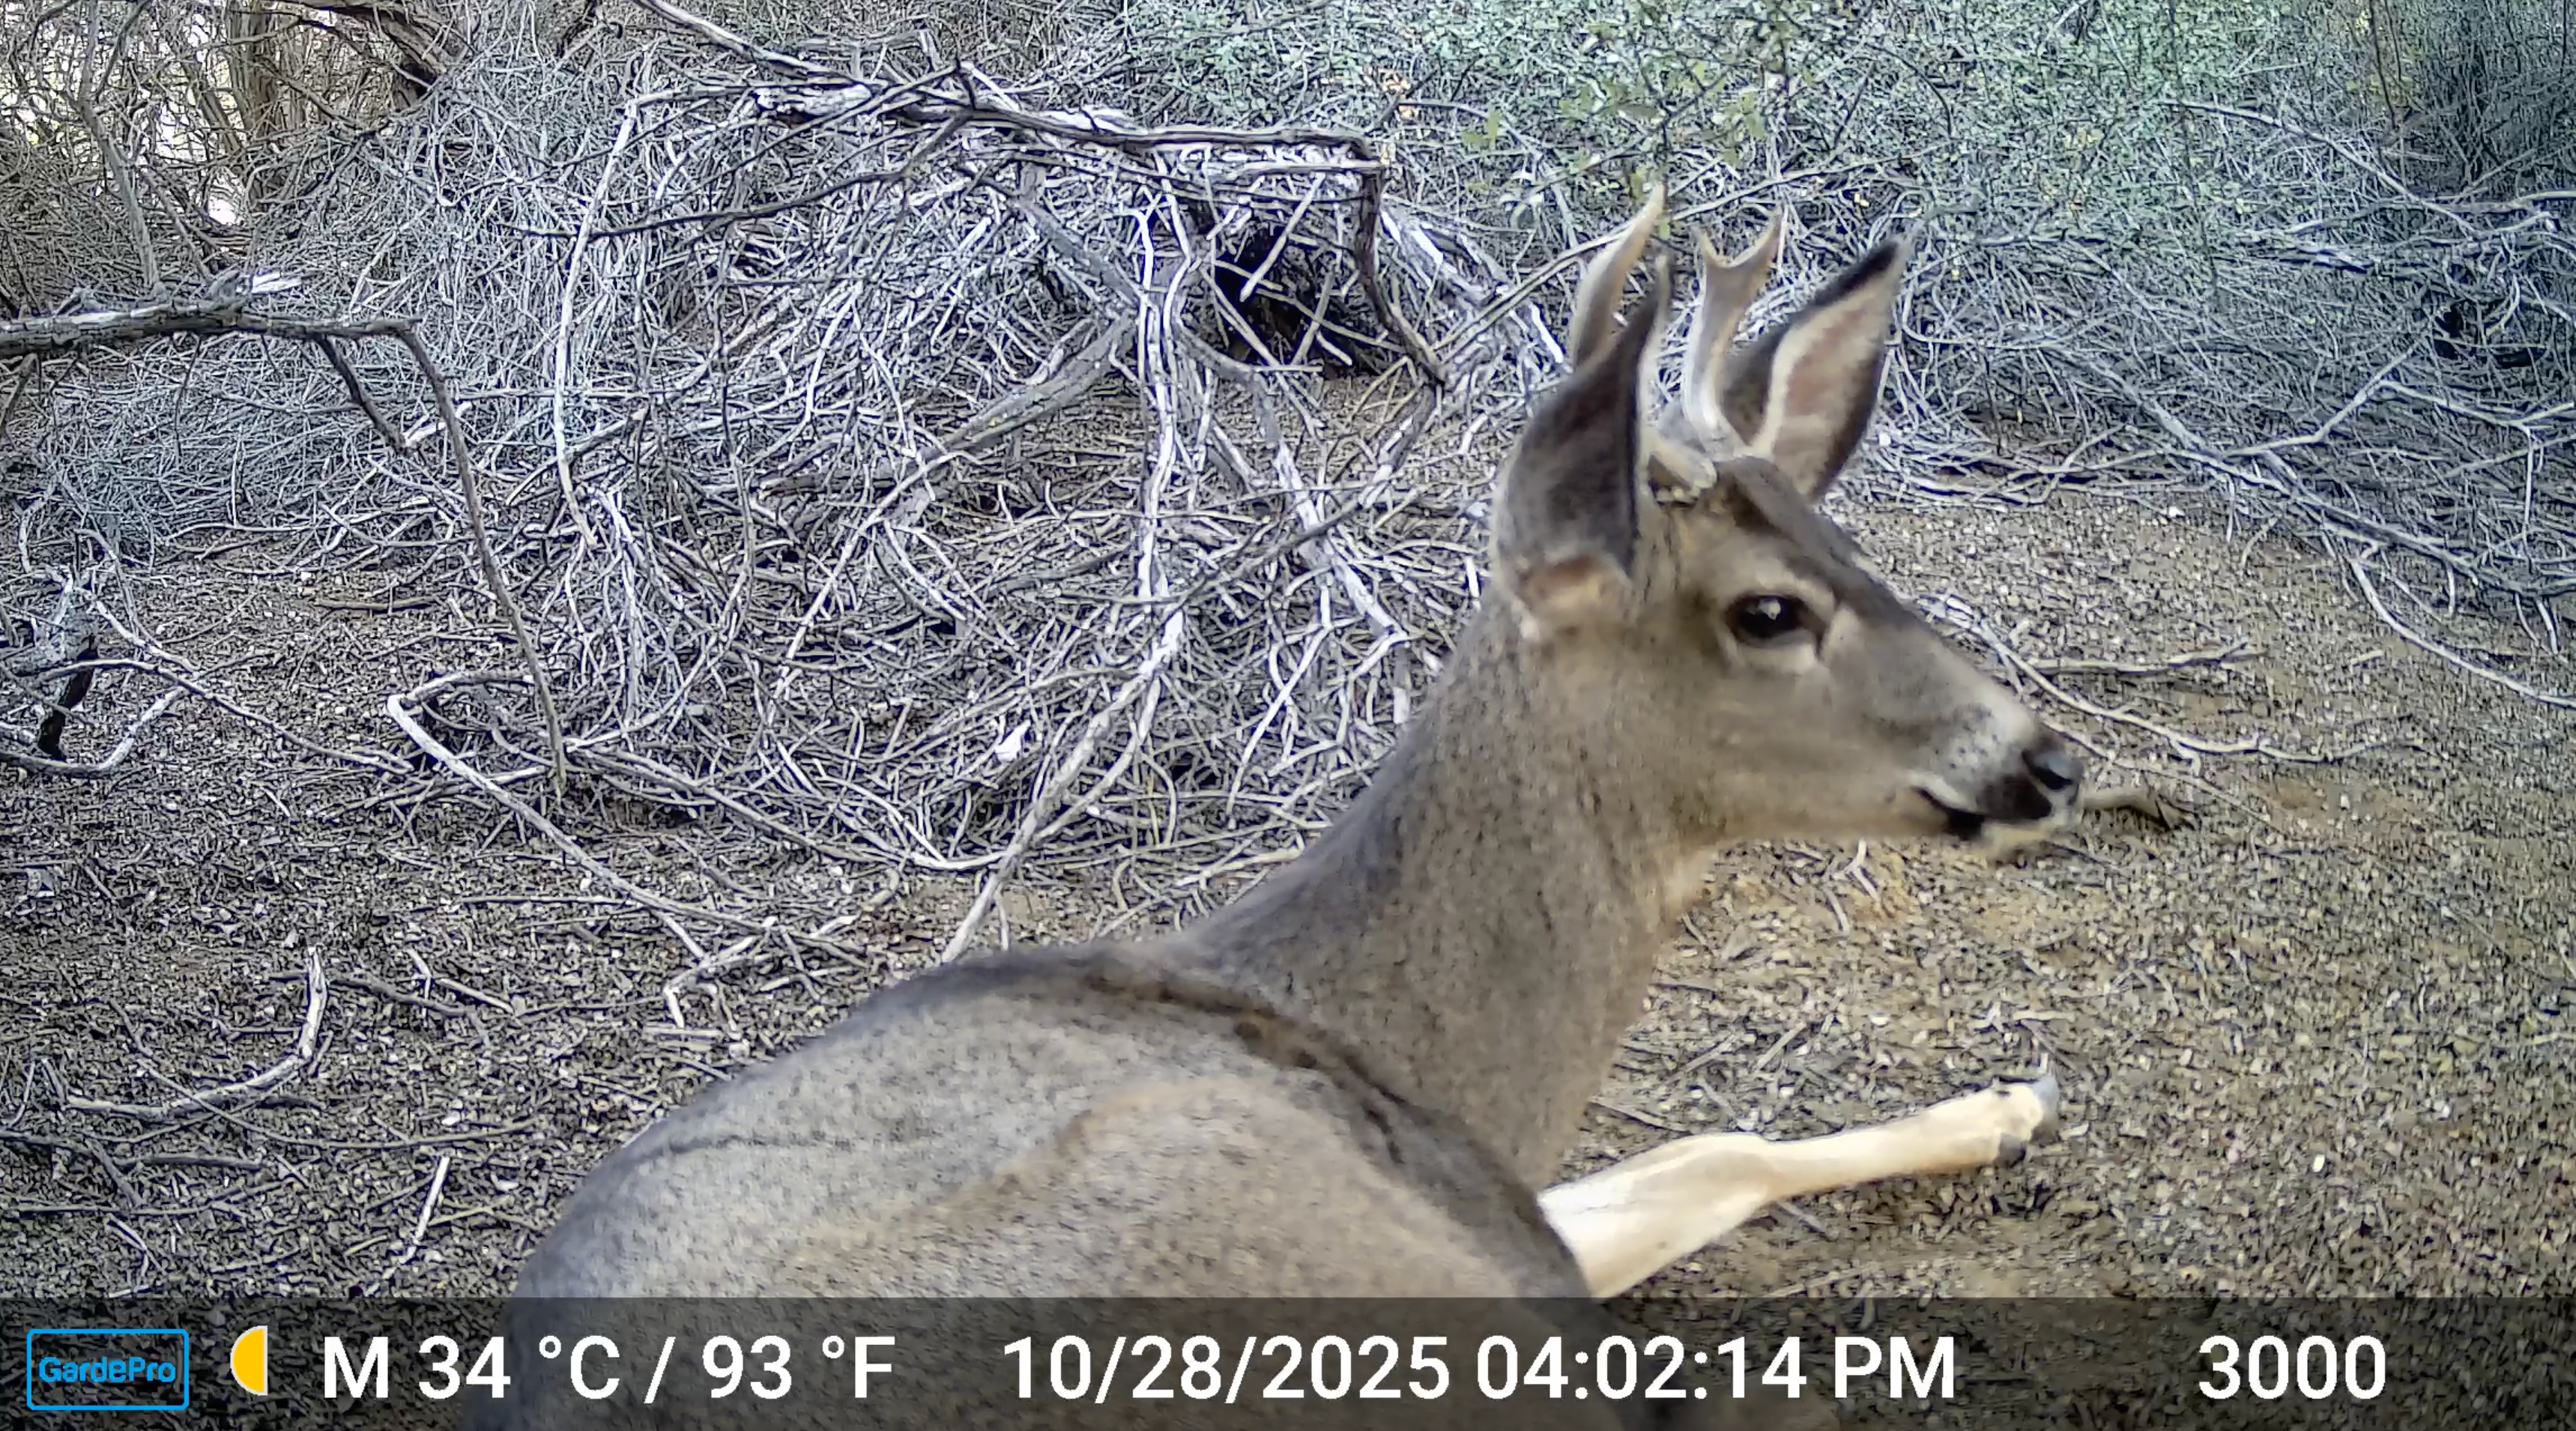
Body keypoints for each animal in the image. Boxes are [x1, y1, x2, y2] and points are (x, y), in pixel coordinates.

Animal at [478, 190, 2080, 1428]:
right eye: (1766, 612)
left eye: (1852, 549)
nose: (2044, 759)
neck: (1400, 1046)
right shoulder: (1478, 1252)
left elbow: (1714, 1150)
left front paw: (2008, 1106)